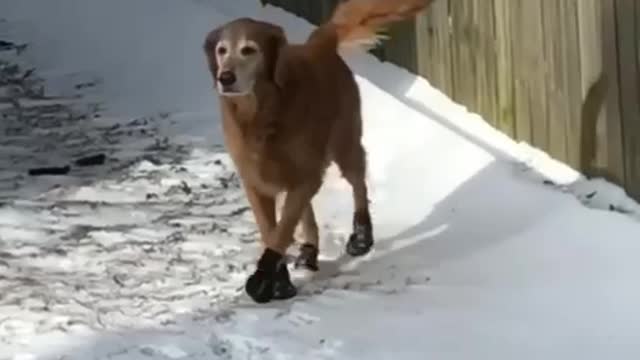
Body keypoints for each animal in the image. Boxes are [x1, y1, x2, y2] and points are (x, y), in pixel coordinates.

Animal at [204, 0, 430, 304]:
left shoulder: (305, 173)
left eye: (249, 50)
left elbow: (283, 229)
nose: (225, 77)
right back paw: (310, 249)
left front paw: (264, 278)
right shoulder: (256, 182)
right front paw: (279, 278)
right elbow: (272, 231)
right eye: (222, 50)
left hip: (345, 144)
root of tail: (319, 43)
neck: (263, 113)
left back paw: (361, 235)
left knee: (358, 184)